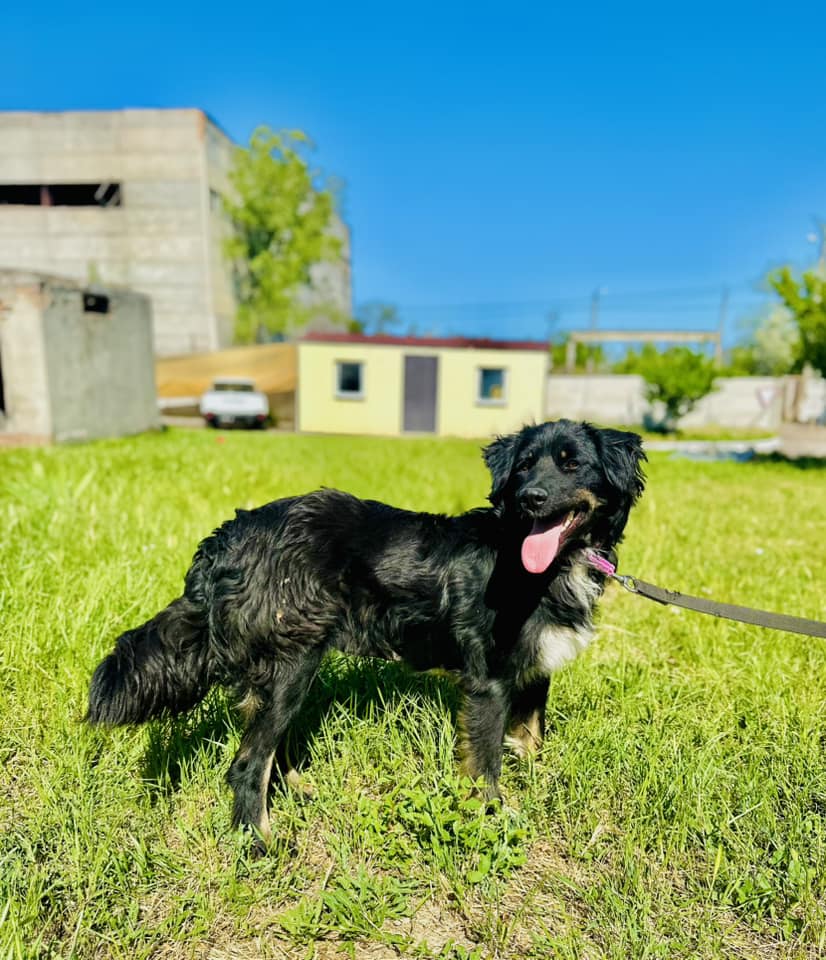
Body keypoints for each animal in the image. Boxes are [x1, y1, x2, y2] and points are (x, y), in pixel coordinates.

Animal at [88, 420, 644, 848]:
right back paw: (261, 841)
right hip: (293, 661)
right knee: (248, 761)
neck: (548, 565)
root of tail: (228, 537)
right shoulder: (489, 681)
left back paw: (296, 790)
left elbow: (529, 741)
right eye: (525, 466)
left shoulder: (534, 670)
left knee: (267, 745)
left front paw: (537, 784)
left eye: (572, 464)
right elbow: (485, 765)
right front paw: (492, 818)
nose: (531, 498)